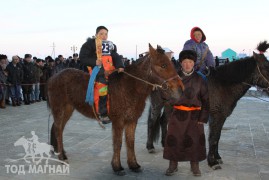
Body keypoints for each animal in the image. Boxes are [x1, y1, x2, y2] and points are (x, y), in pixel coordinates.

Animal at [46, 44, 184, 175]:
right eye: (163, 65)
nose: (180, 88)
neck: (129, 88)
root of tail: (53, 78)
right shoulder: (118, 121)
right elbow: (118, 143)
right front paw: (117, 167)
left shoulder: (132, 120)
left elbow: (130, 142)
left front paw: (133, 165)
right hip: (60, 109)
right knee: (58, 130)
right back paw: (62, 157)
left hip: (67, 110)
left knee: (58, 129)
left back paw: (61, 152)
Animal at [146, 41, 268, 170]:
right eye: (265, 67)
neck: (222, 85)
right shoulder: (215, 116)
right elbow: (213, 138)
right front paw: (212, 162)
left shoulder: (221, 117)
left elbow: (217, 136)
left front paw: (217, 157)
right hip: (157, 103)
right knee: (152, 121)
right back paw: (150, 146)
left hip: (169, 105)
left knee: (163, 121)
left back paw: (165, 144)